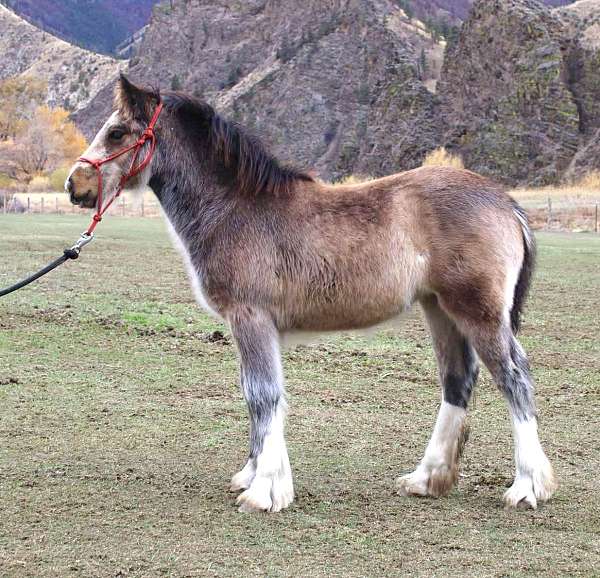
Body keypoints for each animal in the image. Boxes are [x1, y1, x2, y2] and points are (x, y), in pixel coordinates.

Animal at [63, 74, 556, 510]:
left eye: (117, 131)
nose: (74, 184)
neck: (235, 208)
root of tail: (506, 202)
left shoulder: (250, 318)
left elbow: (261, 395)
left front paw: (264, 492)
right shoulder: (254, 326)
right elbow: (259, 396)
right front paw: (254, 474)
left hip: (478, 311)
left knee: (515, 378)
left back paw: (527, 486)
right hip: (440, 309)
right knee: (458, 380)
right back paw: (426, 478)